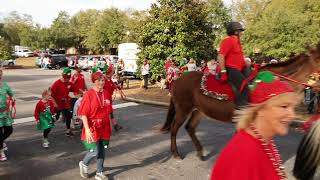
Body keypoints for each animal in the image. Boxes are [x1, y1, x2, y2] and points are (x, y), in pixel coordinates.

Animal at [161, 45, 320, 160]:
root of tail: (177, 80)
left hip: (199, 110)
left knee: (190, 128)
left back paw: (200, 152)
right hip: (183, 109)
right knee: (175, 128)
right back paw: (176, 153)